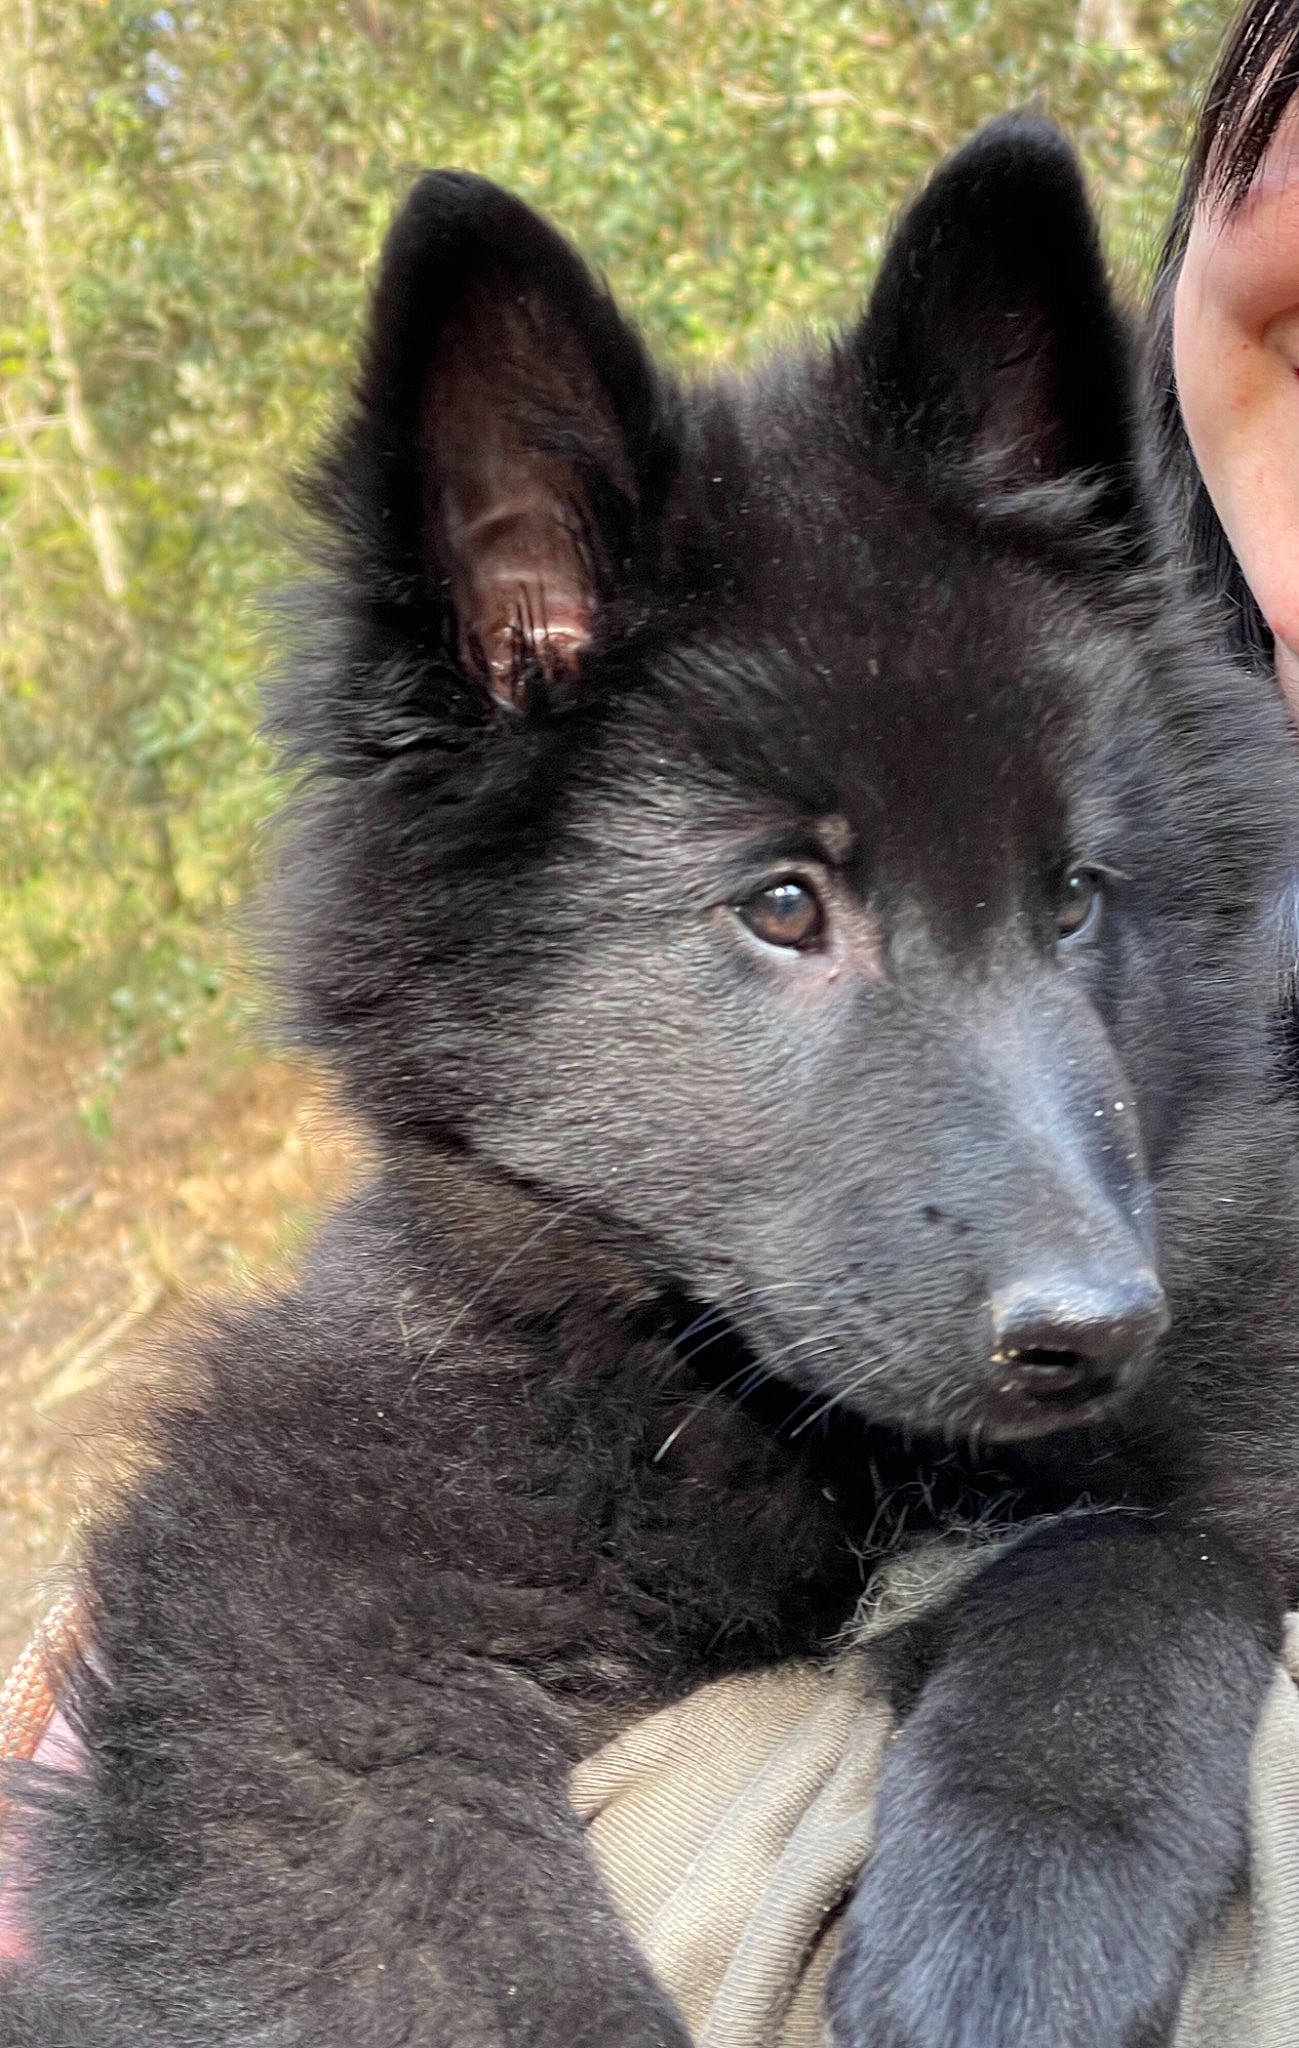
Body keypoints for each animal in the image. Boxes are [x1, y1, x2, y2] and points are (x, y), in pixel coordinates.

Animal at [3, 116, 1299, 2048]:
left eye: (1073, 896)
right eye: (780, 905)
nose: (1091, 1328)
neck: (782, 1428)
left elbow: (1138, 1551)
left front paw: (1006, 1924)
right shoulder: (294, 1666)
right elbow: (462, 1961)